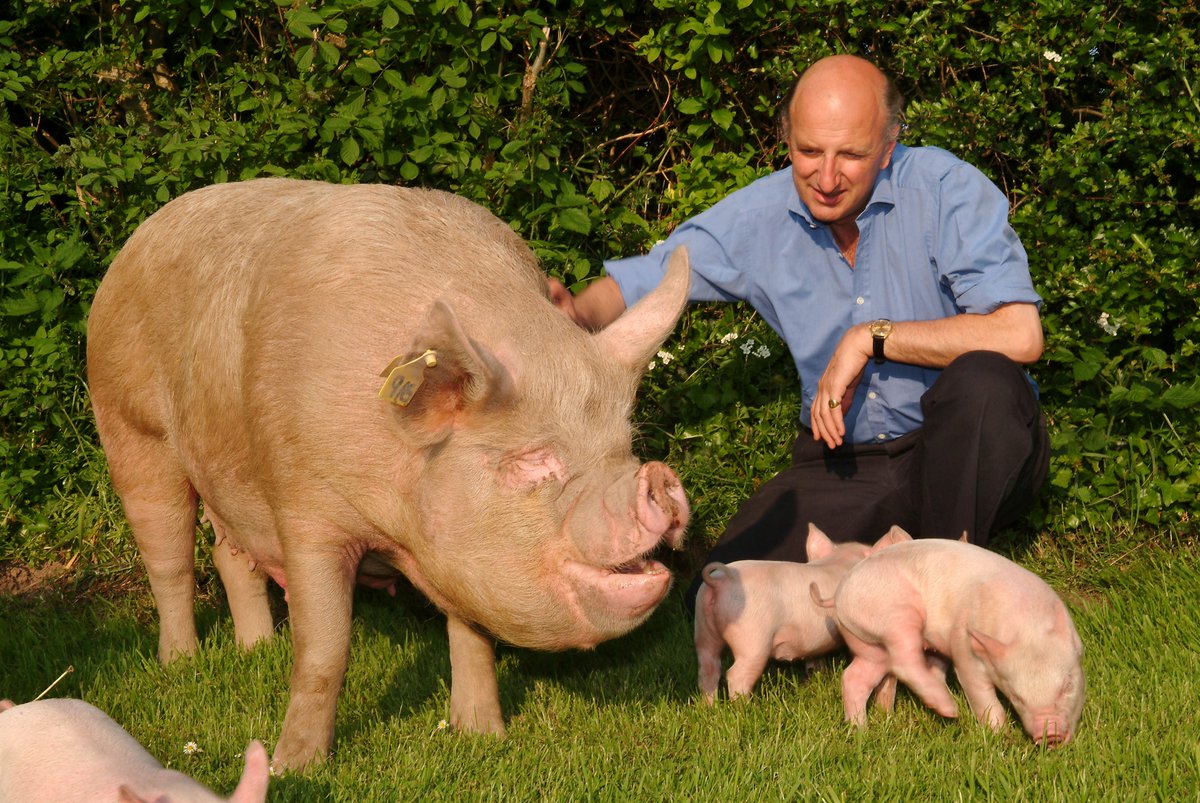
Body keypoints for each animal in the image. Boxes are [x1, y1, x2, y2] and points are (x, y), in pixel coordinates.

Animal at [86, 178, 691, 770]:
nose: (658, 480)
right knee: (169, 560)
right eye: (530, 460)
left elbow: (471, 635)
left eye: (623, 445)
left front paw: (482, 736)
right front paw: (294, 769)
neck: (398, 525)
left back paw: (256, 649)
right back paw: (180, 663)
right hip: (130, 427)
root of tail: (140, 238)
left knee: (229, 557)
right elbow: (325, 648)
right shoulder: (306, 507)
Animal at [694, 523, 911, 703]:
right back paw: (744, 709)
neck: (841, 561)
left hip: (703, 627)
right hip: (752, 639)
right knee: (736, 676)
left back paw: (709, 708)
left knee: (708, 669)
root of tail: (722, 580)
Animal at [816, 538, 1085, 745]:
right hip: (893, 611)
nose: (1048, 734)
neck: (1025, 623)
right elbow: (979, 693)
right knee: (904, 660)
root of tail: (839, 593)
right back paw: (949, 709)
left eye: (1067, 686)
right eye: (1017, 697)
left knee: (855, 676)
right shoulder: (964, 647)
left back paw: (862, 730)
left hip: (866, 642)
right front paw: (1000, 736)